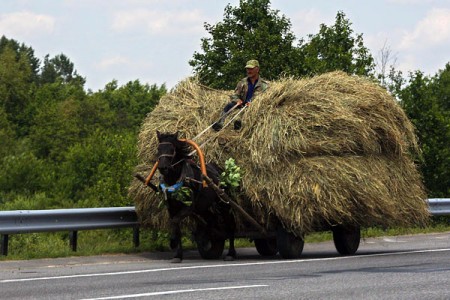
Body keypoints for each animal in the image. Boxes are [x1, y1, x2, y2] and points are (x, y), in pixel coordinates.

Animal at [156, 131, 237, 262]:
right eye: (158, 149)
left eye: (172, 149)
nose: (163, 167)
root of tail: (221, 172)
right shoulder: (171, 208)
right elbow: (175, 226)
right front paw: (177, 254)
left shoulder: (189, 207)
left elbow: (175, 221)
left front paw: (173, 243)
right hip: (203, 208)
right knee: (211, 220)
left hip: (224, 204)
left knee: (231, 225)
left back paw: (231, 253)